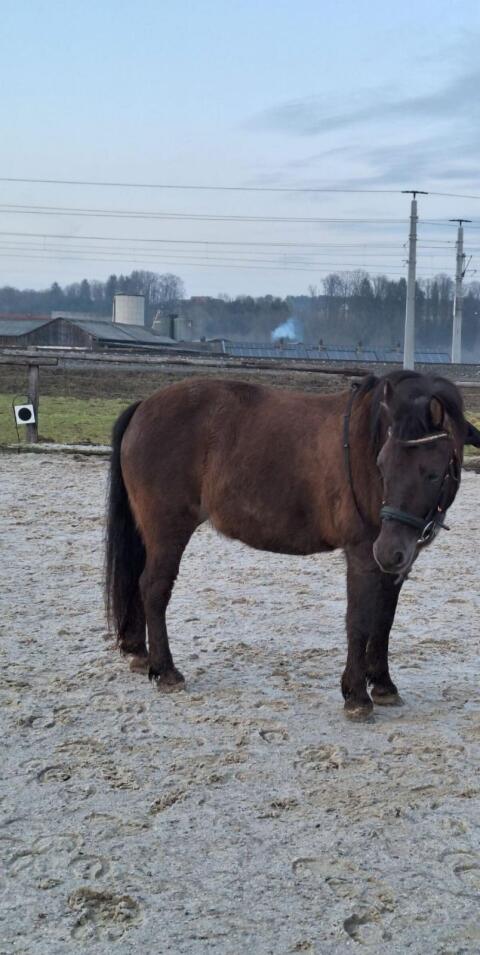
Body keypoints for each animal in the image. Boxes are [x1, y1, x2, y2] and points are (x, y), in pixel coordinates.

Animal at [105, 370, 480, 721]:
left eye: (432, 472)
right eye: (383, 465)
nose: (388, 550)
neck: (366, 440)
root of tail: (145, 406)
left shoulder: (396, 563)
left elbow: (384, 621)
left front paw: (384, 684)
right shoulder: (362, 555)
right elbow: (359, 621)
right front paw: (357, 695)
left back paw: (140, 653)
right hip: (168, 531)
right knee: (153, 588)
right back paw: (166, 671)